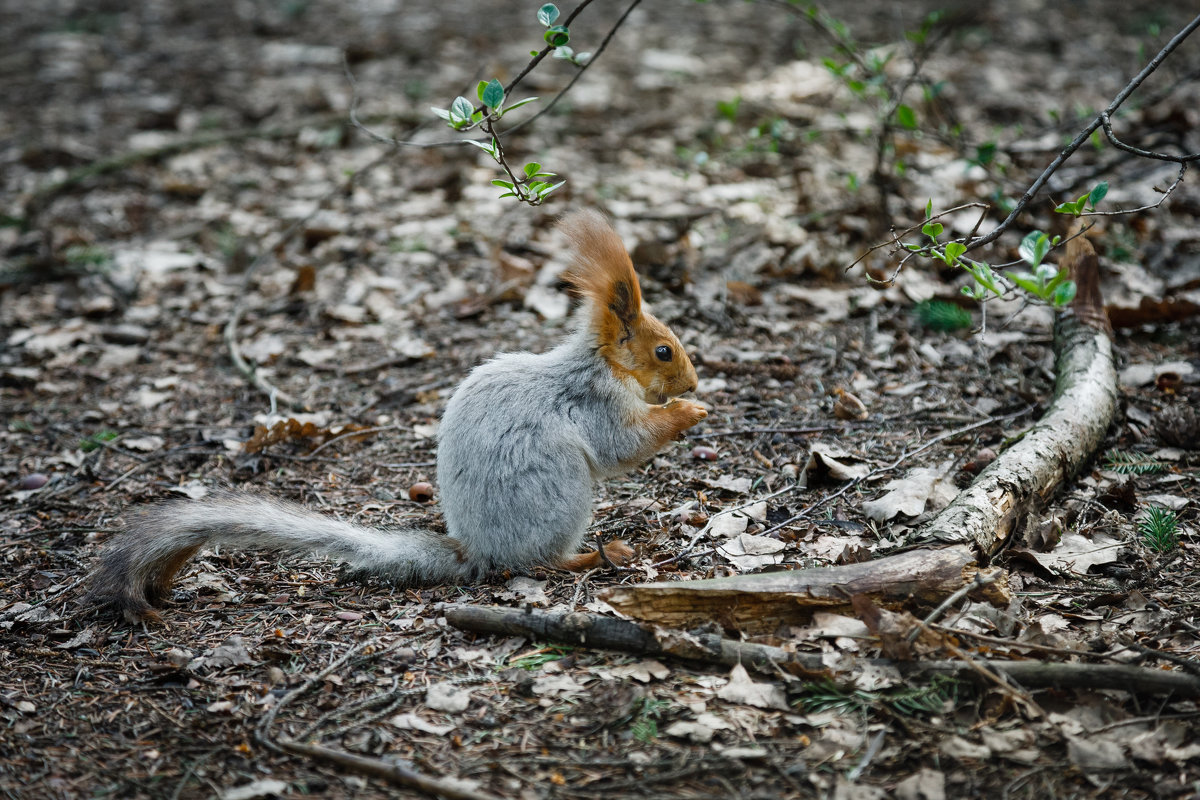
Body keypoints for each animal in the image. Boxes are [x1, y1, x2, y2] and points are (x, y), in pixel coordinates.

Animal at [91, 209, 700, 623]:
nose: (693, 382)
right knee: (539, 563)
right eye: (663, 351)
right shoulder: (595, 403)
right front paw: (689, 411)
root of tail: (480, 552)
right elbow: (621, 447)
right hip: (563, 502)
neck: (602, 364)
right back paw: (596, 556)